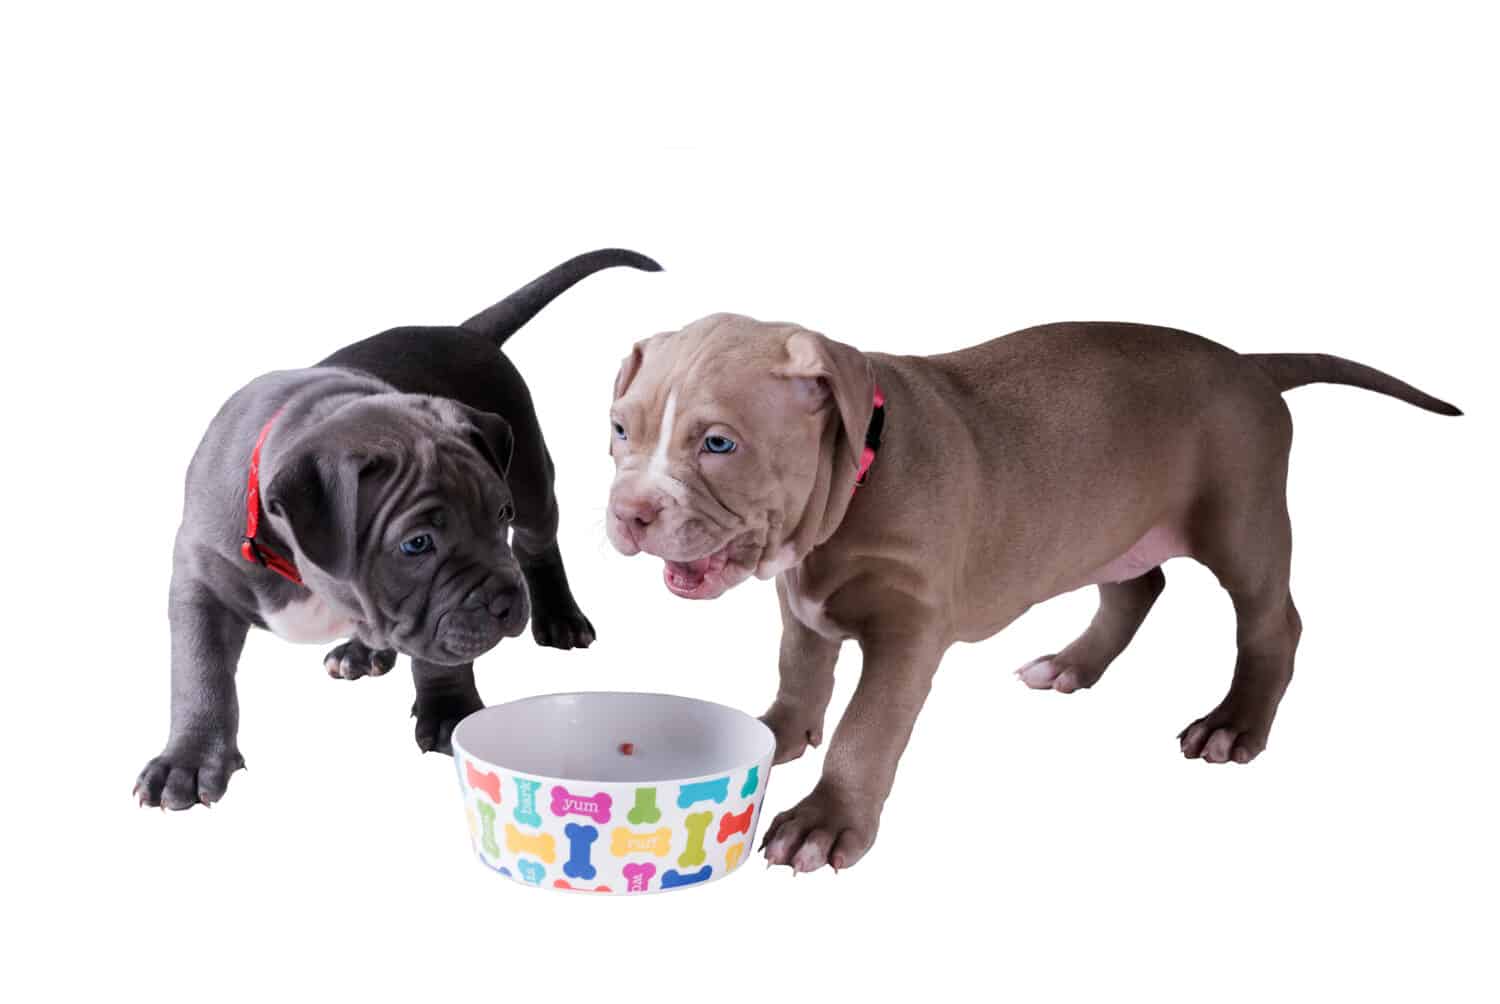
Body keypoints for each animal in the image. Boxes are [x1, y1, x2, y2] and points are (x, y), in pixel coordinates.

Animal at [136, 249, 663, 804]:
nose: (505, 602)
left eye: (499, 515)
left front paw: (449, 712)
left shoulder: (443, 610)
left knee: (539, 544)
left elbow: (439, 654)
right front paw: (188, 760)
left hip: (531, 476)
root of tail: (464, 331)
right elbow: (200, 672)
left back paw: (559, 617)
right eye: (417, 544)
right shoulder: (200, 583)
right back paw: (361, 650)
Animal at [603, 313, 1458, 870]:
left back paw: (1233, 724)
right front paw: (778, 731)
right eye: (619, 430)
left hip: (1241, 516)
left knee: (1273, 621)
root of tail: (1249, 363)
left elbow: (866, 728)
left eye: (720, 444)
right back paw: (1072, 664)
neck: (857, 476)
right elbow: (800, 669)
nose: (629, 513)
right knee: (1137, 587)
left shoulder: (910, 631)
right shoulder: (801, 597)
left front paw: (826, 820)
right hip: (1112, 524)